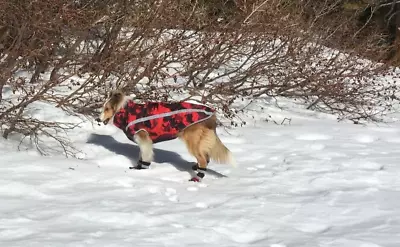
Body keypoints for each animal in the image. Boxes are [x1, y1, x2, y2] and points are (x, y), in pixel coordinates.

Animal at [96, 89, 234, 180]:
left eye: (107, 109)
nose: (97, 119)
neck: (126, 111)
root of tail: (212, 116)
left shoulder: (144, 139)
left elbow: (145, 157)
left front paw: (142, 169)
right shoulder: (142, 141)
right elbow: (141, 155)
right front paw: (137, 168)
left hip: (193, 142)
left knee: (203, 160)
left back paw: (197, 178)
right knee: (206, 157)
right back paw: (196, 167)